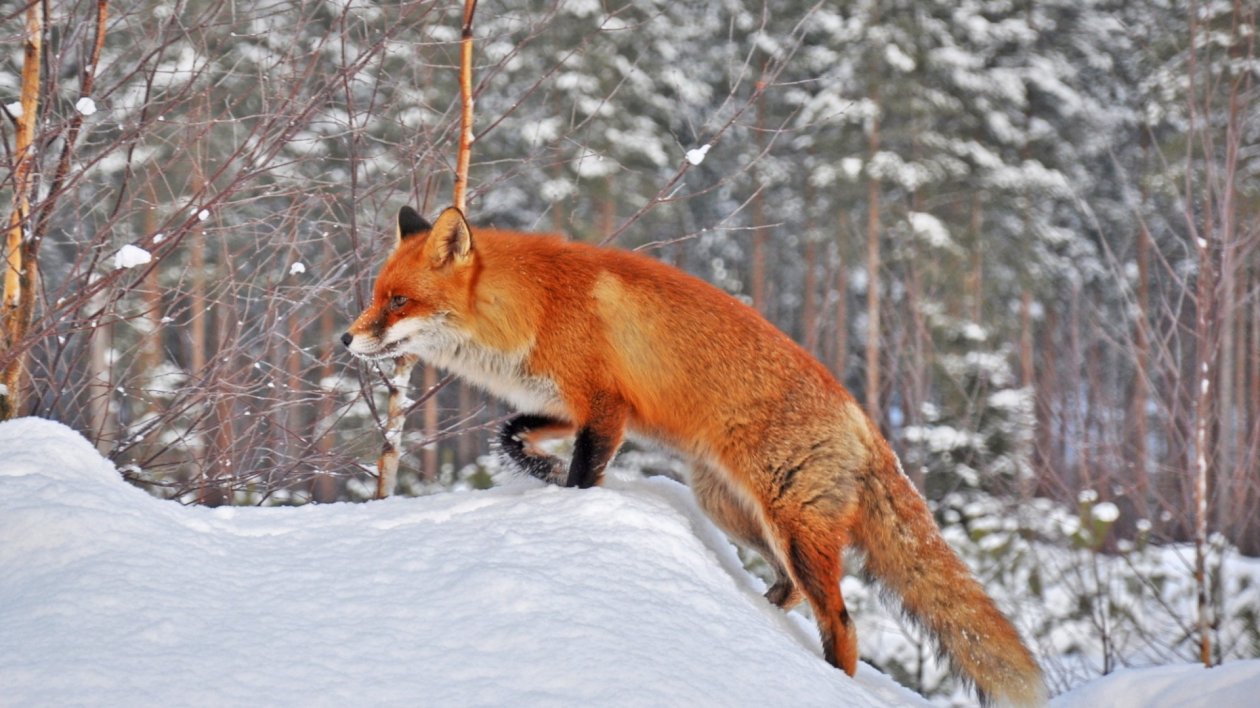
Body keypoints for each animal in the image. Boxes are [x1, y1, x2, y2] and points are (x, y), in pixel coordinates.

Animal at [342, 205, 1046, 706]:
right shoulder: (573, 405)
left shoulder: (605, 408)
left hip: (791, 526)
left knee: (842, 623)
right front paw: (538, 471)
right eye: (376, 294)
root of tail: (865, 422)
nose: (347, 338)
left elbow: (583, 477)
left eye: (397, 301)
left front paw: (569, 502)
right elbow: (509, 433)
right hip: (733, 510)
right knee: (790, 591)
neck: (532, 306)